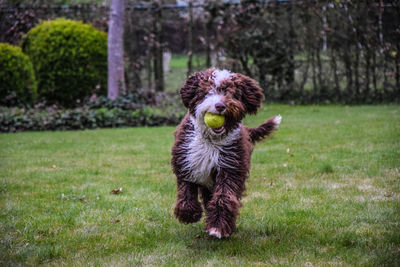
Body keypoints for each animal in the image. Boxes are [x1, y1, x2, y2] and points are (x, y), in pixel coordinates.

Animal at [171, 68, 282, 239]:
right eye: (207, 91)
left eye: (231, 93)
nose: (220, 106)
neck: (211, 140)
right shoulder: (185, 161)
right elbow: (186, 190)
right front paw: (188, 213)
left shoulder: (230, 168)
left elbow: (224, 197)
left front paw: (217, 227)